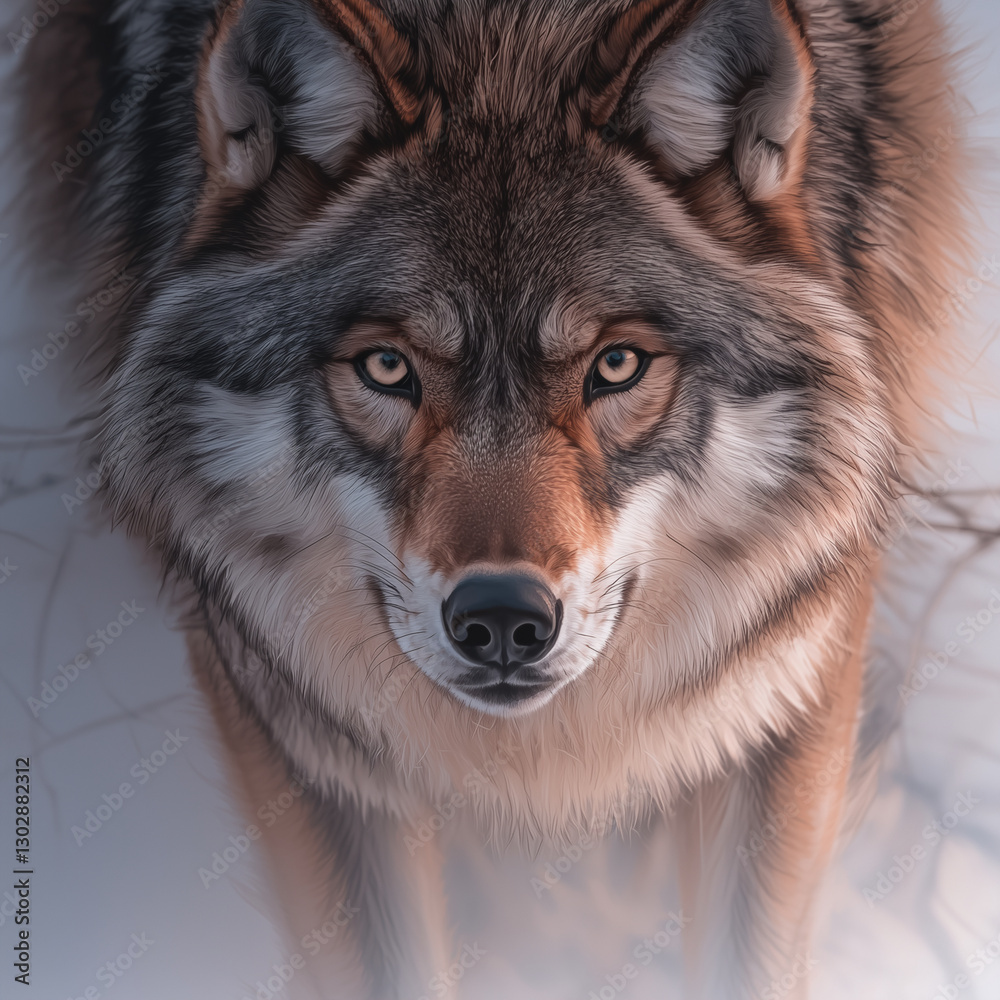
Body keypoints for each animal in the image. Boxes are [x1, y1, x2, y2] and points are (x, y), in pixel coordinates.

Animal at [23, 0, 969, 996]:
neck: (504, 35)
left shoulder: (793, 672)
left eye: (616, 365)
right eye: (387, 368)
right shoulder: (296, 727)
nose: (504, 619)